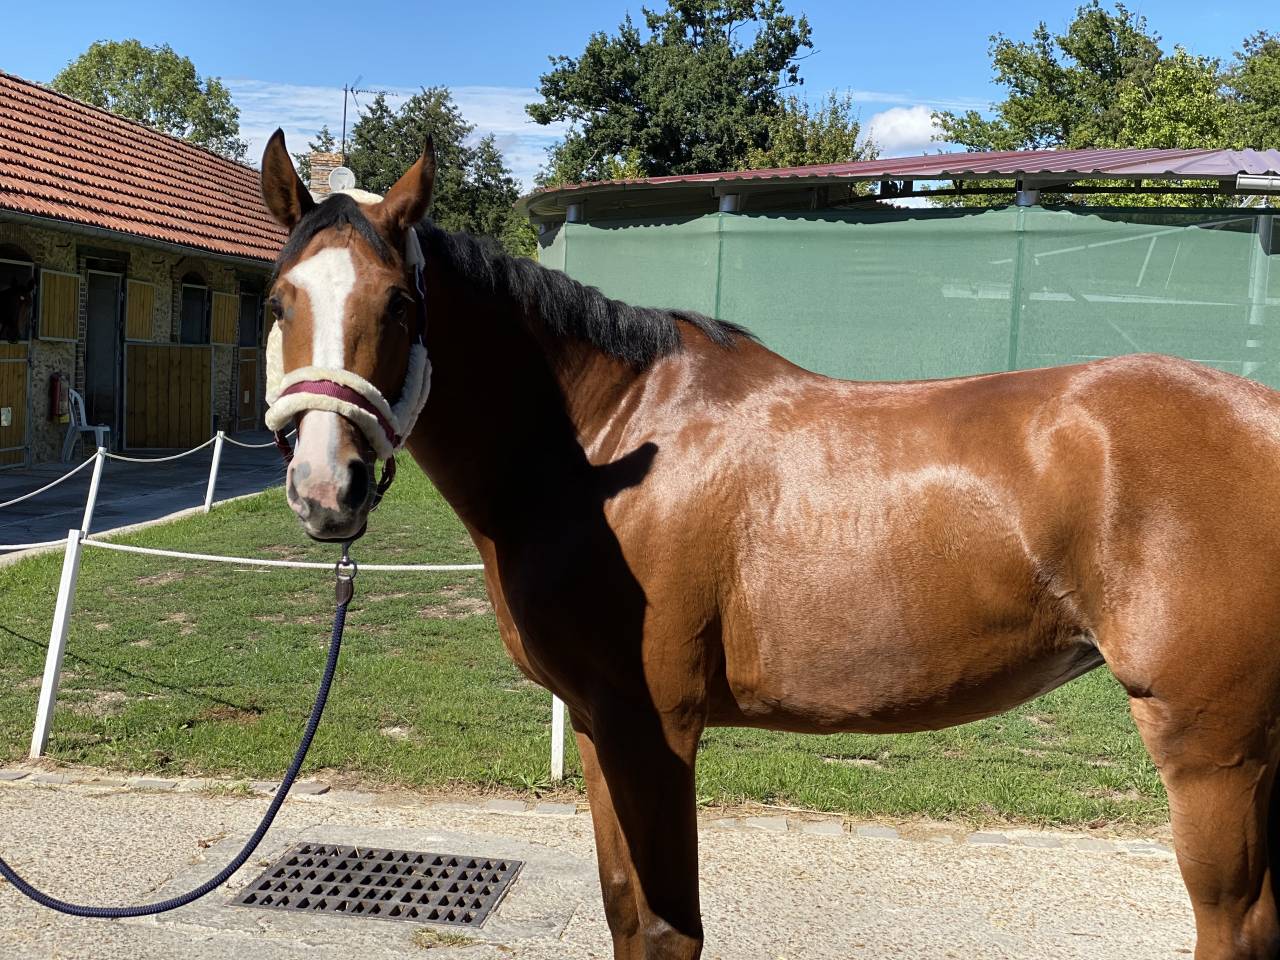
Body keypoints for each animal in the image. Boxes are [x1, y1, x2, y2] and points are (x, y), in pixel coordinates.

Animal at [259, 129, 1280, 960]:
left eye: (399, 303)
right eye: (278, 301)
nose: (324, 485)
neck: (603, 448)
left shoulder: (655, 731)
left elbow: (668, 928)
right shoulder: (597, 725)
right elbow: (625, 913)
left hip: (1213, 758)